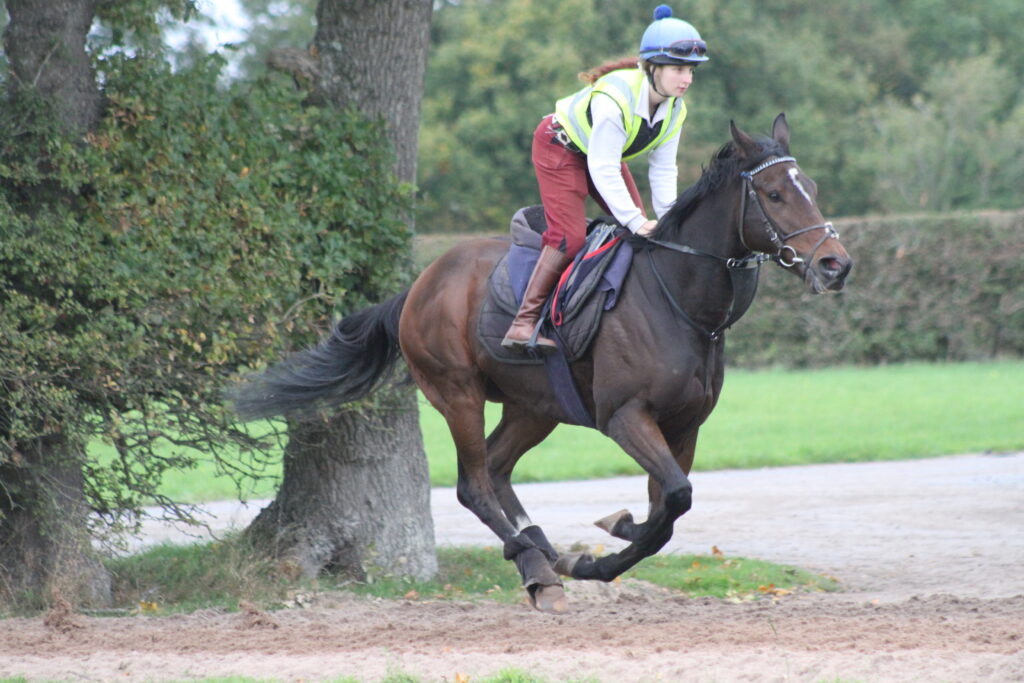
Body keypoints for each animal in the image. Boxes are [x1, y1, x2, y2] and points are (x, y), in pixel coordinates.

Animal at [232, 114, 852, 613]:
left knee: (498, 469)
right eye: (774, 193)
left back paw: (545, 551)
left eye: (814, 188)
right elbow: (673, 501)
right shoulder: (624, 416)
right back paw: (534, 565)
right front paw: (597, 556)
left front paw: (609, 535)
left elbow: (667, 511)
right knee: (475, 485)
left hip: (535, 406)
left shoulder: (684, 425)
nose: (836, 264)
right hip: (456, 391)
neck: (678, 299)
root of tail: (418, 286)